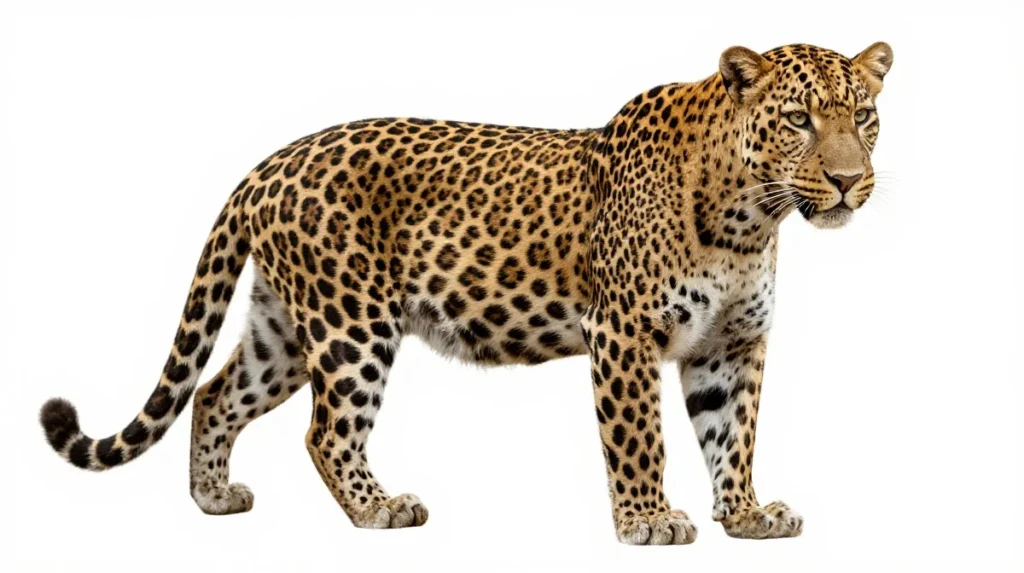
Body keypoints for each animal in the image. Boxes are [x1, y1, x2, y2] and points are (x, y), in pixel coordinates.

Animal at [39, 42, 893, 544]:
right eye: (798, 119)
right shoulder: (622, 332)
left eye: (865, 115)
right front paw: (648, 520)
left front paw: (746, 513)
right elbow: (639, 437)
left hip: (283, 328)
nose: (850, 181)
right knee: (326, 431)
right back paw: (379, 508)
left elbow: (733, 434)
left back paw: (215, 498)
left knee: (216, 394)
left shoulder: (731, 344)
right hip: (352, 323)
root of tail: (269, 163)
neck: (750, 217)